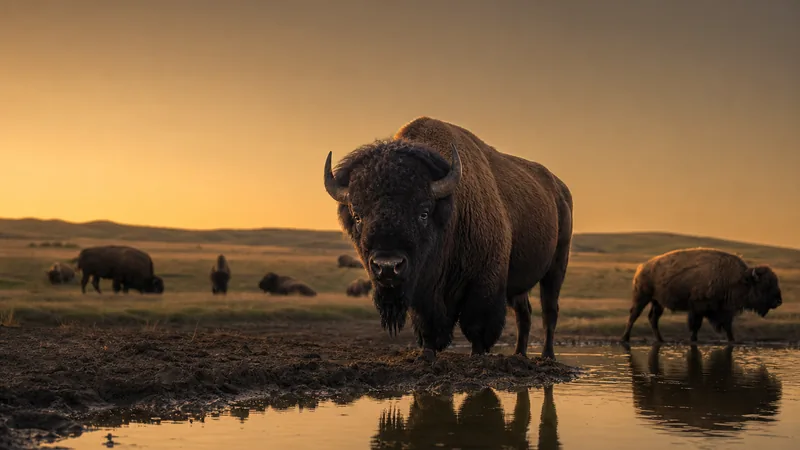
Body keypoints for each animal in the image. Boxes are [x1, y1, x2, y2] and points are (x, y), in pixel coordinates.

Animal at [324, 117, 573, 361]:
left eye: (424, 212)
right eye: (357, 215)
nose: (387, 266)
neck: (452, 211)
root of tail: (560, 190)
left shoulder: (484, 283)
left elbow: (476, 325)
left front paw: (477, 355)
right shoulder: (423, 292)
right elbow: (427, 326)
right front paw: (426, 354)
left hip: (556, 268)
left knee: (549, 311)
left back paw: (547, 356)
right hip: (519, 286)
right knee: (525, 313)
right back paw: (519, 355)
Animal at [621, 247, 783, 343]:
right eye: (765, 285)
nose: (778, 301)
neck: (739, 279)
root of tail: (642, 267)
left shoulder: (725, 310)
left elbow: (728, 326)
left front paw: (732, 340)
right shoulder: (698, 307)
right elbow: (696, 325)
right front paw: (694, 340)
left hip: (657, 302)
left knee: (653, 318)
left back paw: (661, 340)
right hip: (642, 297)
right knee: (634, 315)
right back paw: (625, 338)